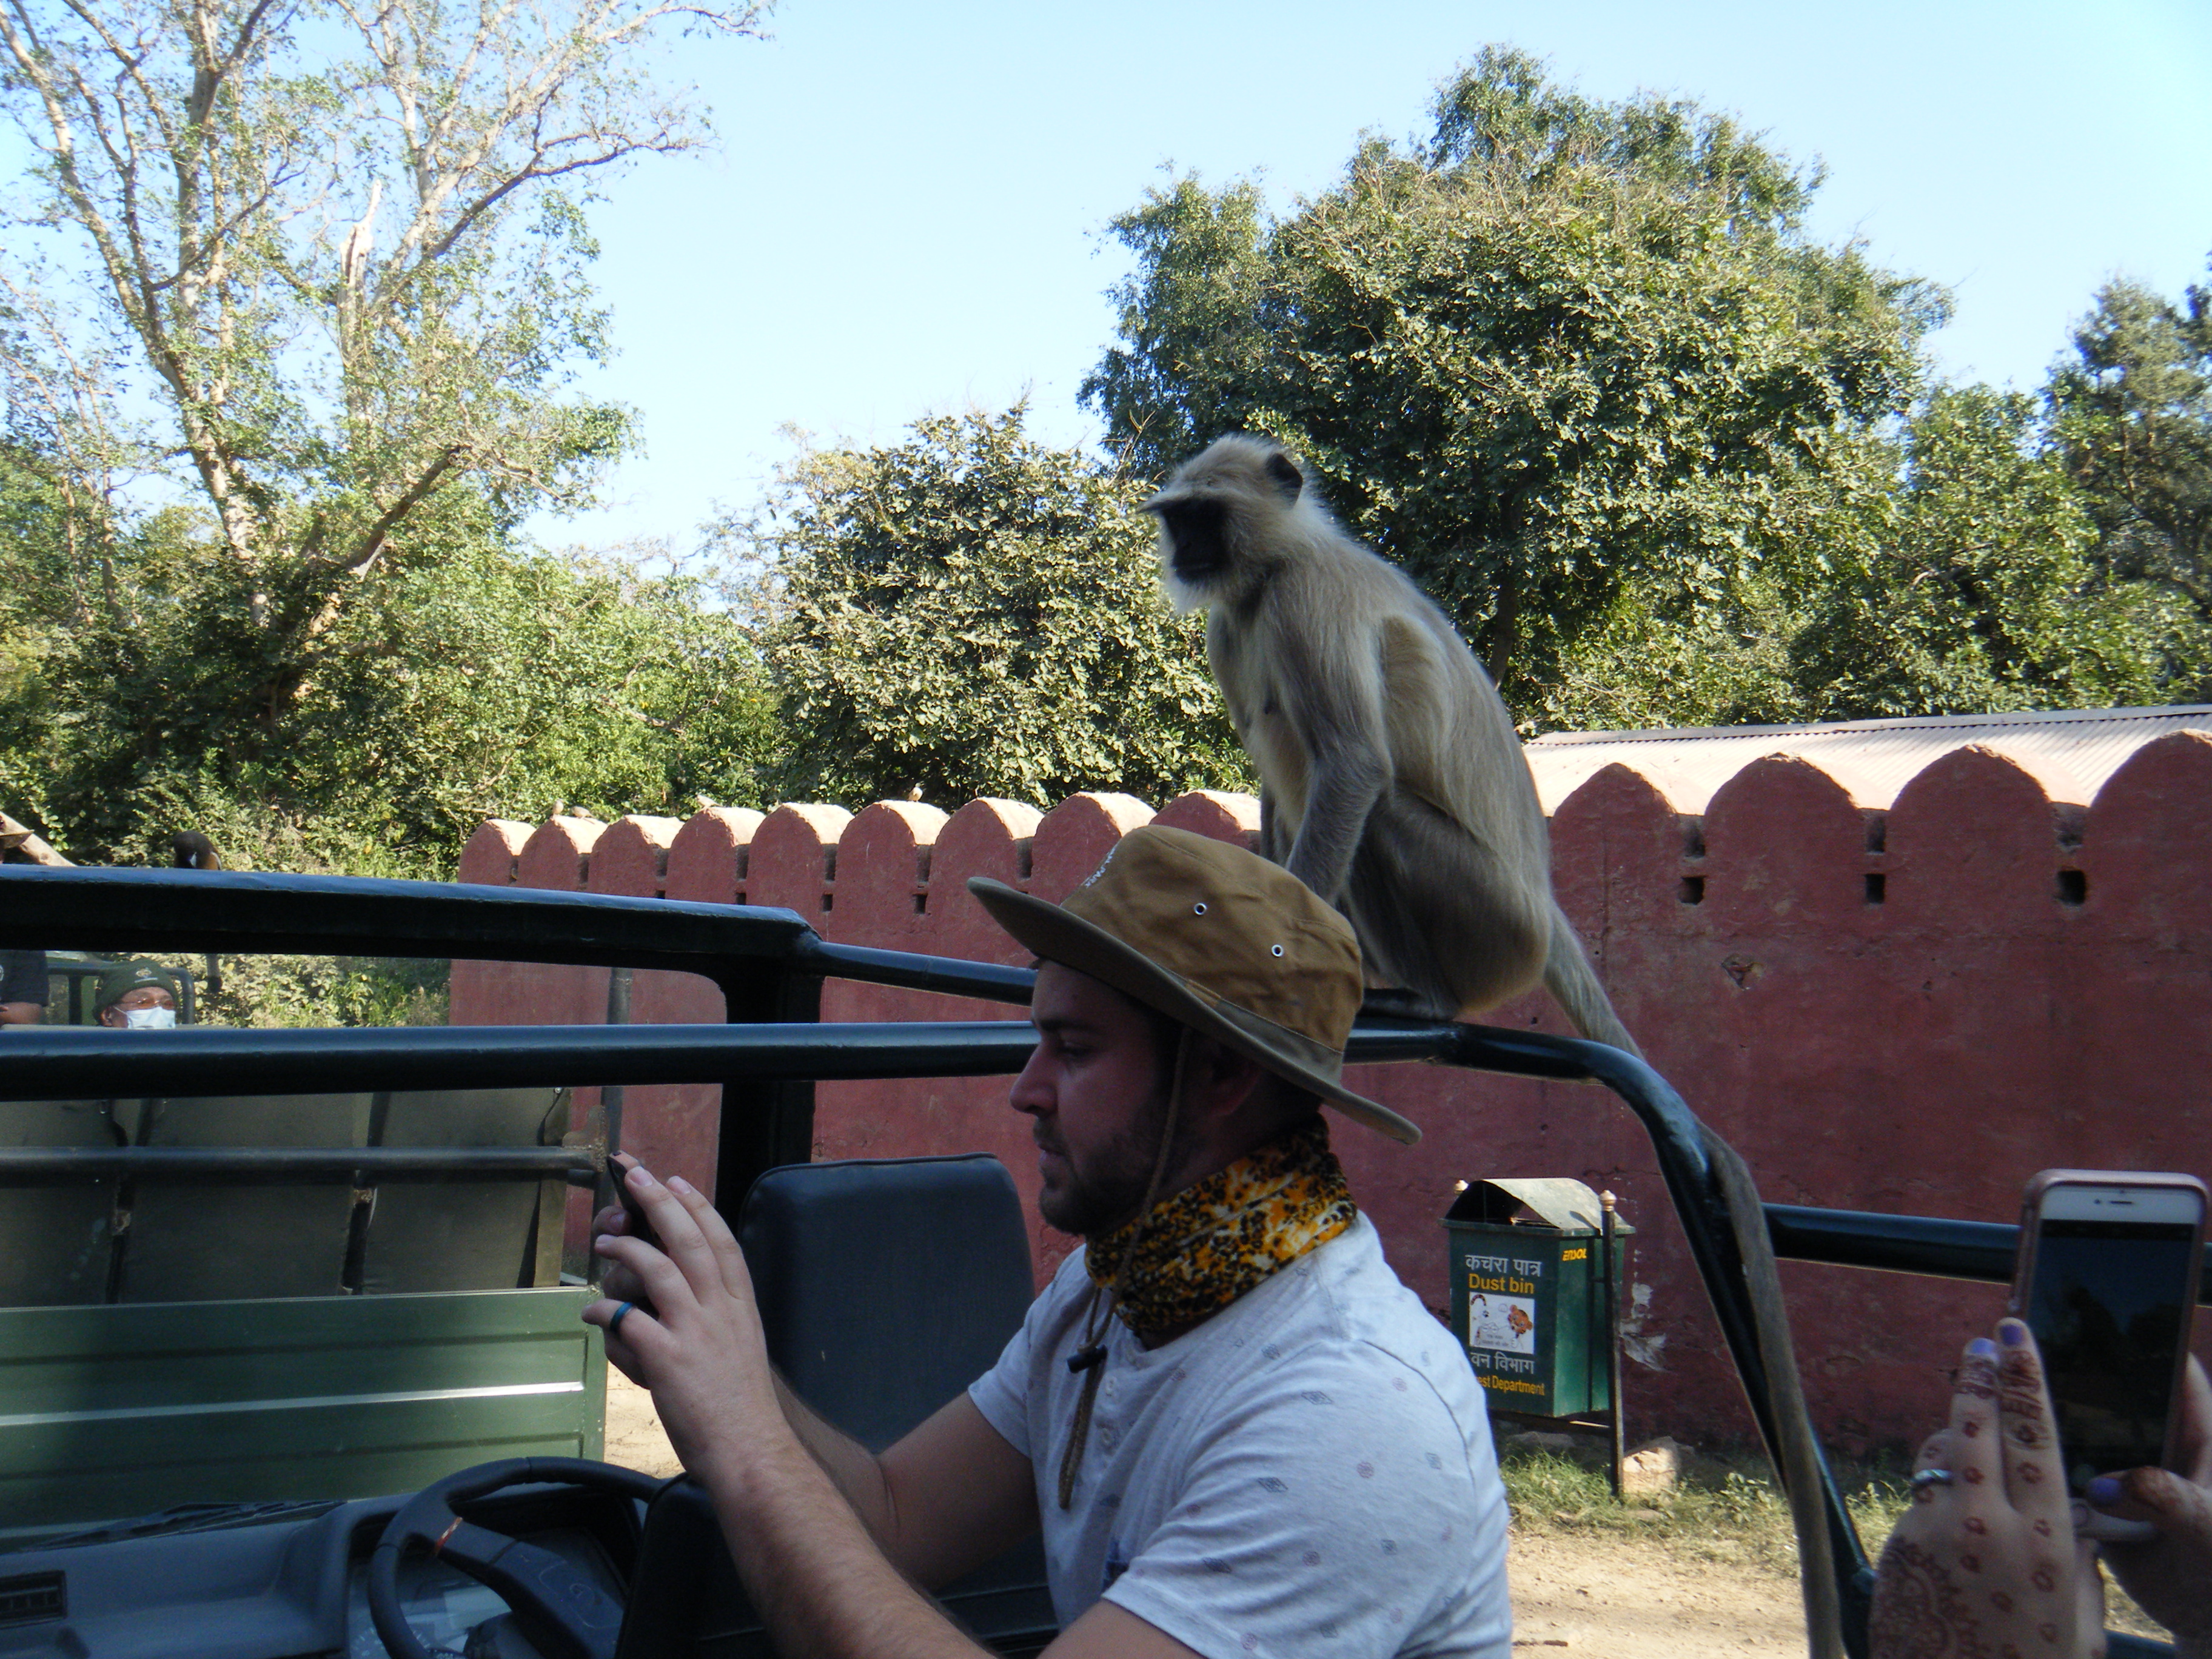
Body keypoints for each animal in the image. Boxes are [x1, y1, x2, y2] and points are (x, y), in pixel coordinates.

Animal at [1145, 436, 1844, 1654]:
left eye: (1203, 515)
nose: (1181, 552)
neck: (1273, 569)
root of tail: (1547, 907)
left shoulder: (1305, 602)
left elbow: (1347, 770)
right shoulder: (1234, 625)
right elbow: (1277, 797)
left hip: (1479, 916)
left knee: (1371, 793)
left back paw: (1412, 988)